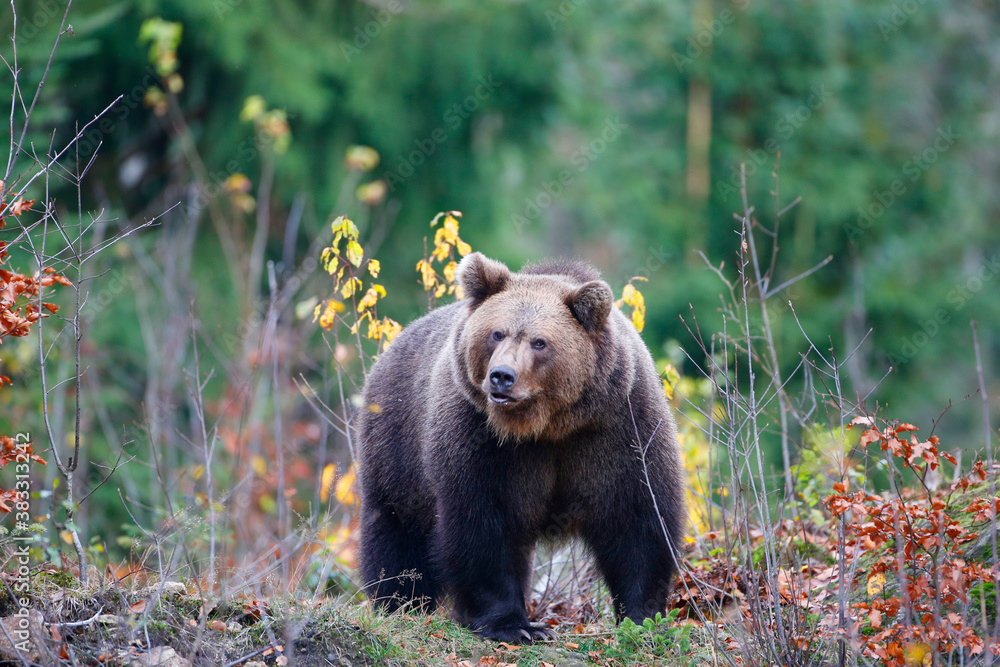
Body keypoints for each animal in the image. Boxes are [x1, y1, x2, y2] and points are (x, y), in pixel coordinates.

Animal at [358, 250, 688, 640]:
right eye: (497, 333)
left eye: (539, 342)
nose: (502, 376)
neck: (548, 426)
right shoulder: (482, 439)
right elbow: (485, 524)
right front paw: (514, 625)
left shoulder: (617, 430)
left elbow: (637, 519)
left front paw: (643, 617)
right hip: (396, 443)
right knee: (396, 528)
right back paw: (399, 601)